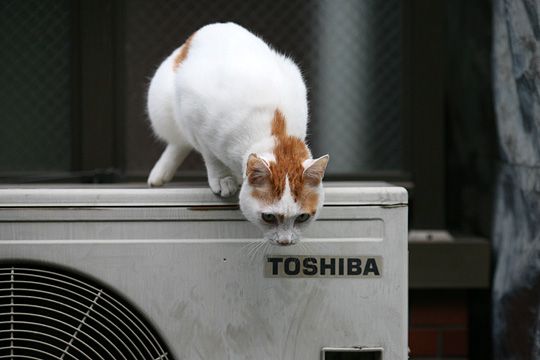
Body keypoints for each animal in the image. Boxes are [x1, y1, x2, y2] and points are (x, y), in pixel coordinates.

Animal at [146, 22, 330, 246]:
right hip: (163, 107)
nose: (285, 241)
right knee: (179, 142)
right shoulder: (193, 114)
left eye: (302, 217)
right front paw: (223, 178)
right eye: (268, 217)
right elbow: (210, 156)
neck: (278, 135)